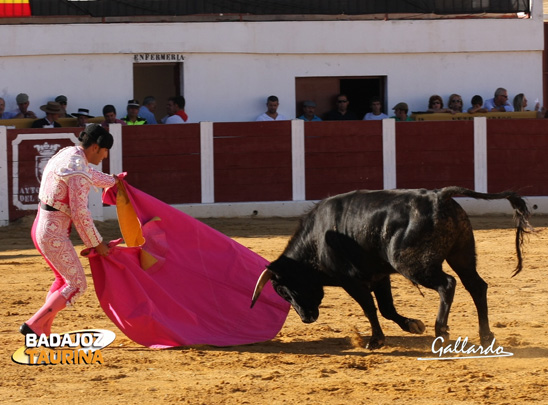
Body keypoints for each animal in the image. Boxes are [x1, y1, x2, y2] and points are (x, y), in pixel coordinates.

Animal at [252, 186, 532, 348]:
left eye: (285, 290)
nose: (306, 318)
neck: (317, 239)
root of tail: (439, 196)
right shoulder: (378, 276)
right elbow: (386, 308)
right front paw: (413, 325)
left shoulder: (351, 280)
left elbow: (369, 308)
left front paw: (375, 340)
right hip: (462, 253)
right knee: (476, 286)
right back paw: (485, 336)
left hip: (412, 263)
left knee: (447, 284)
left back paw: (441, 331)